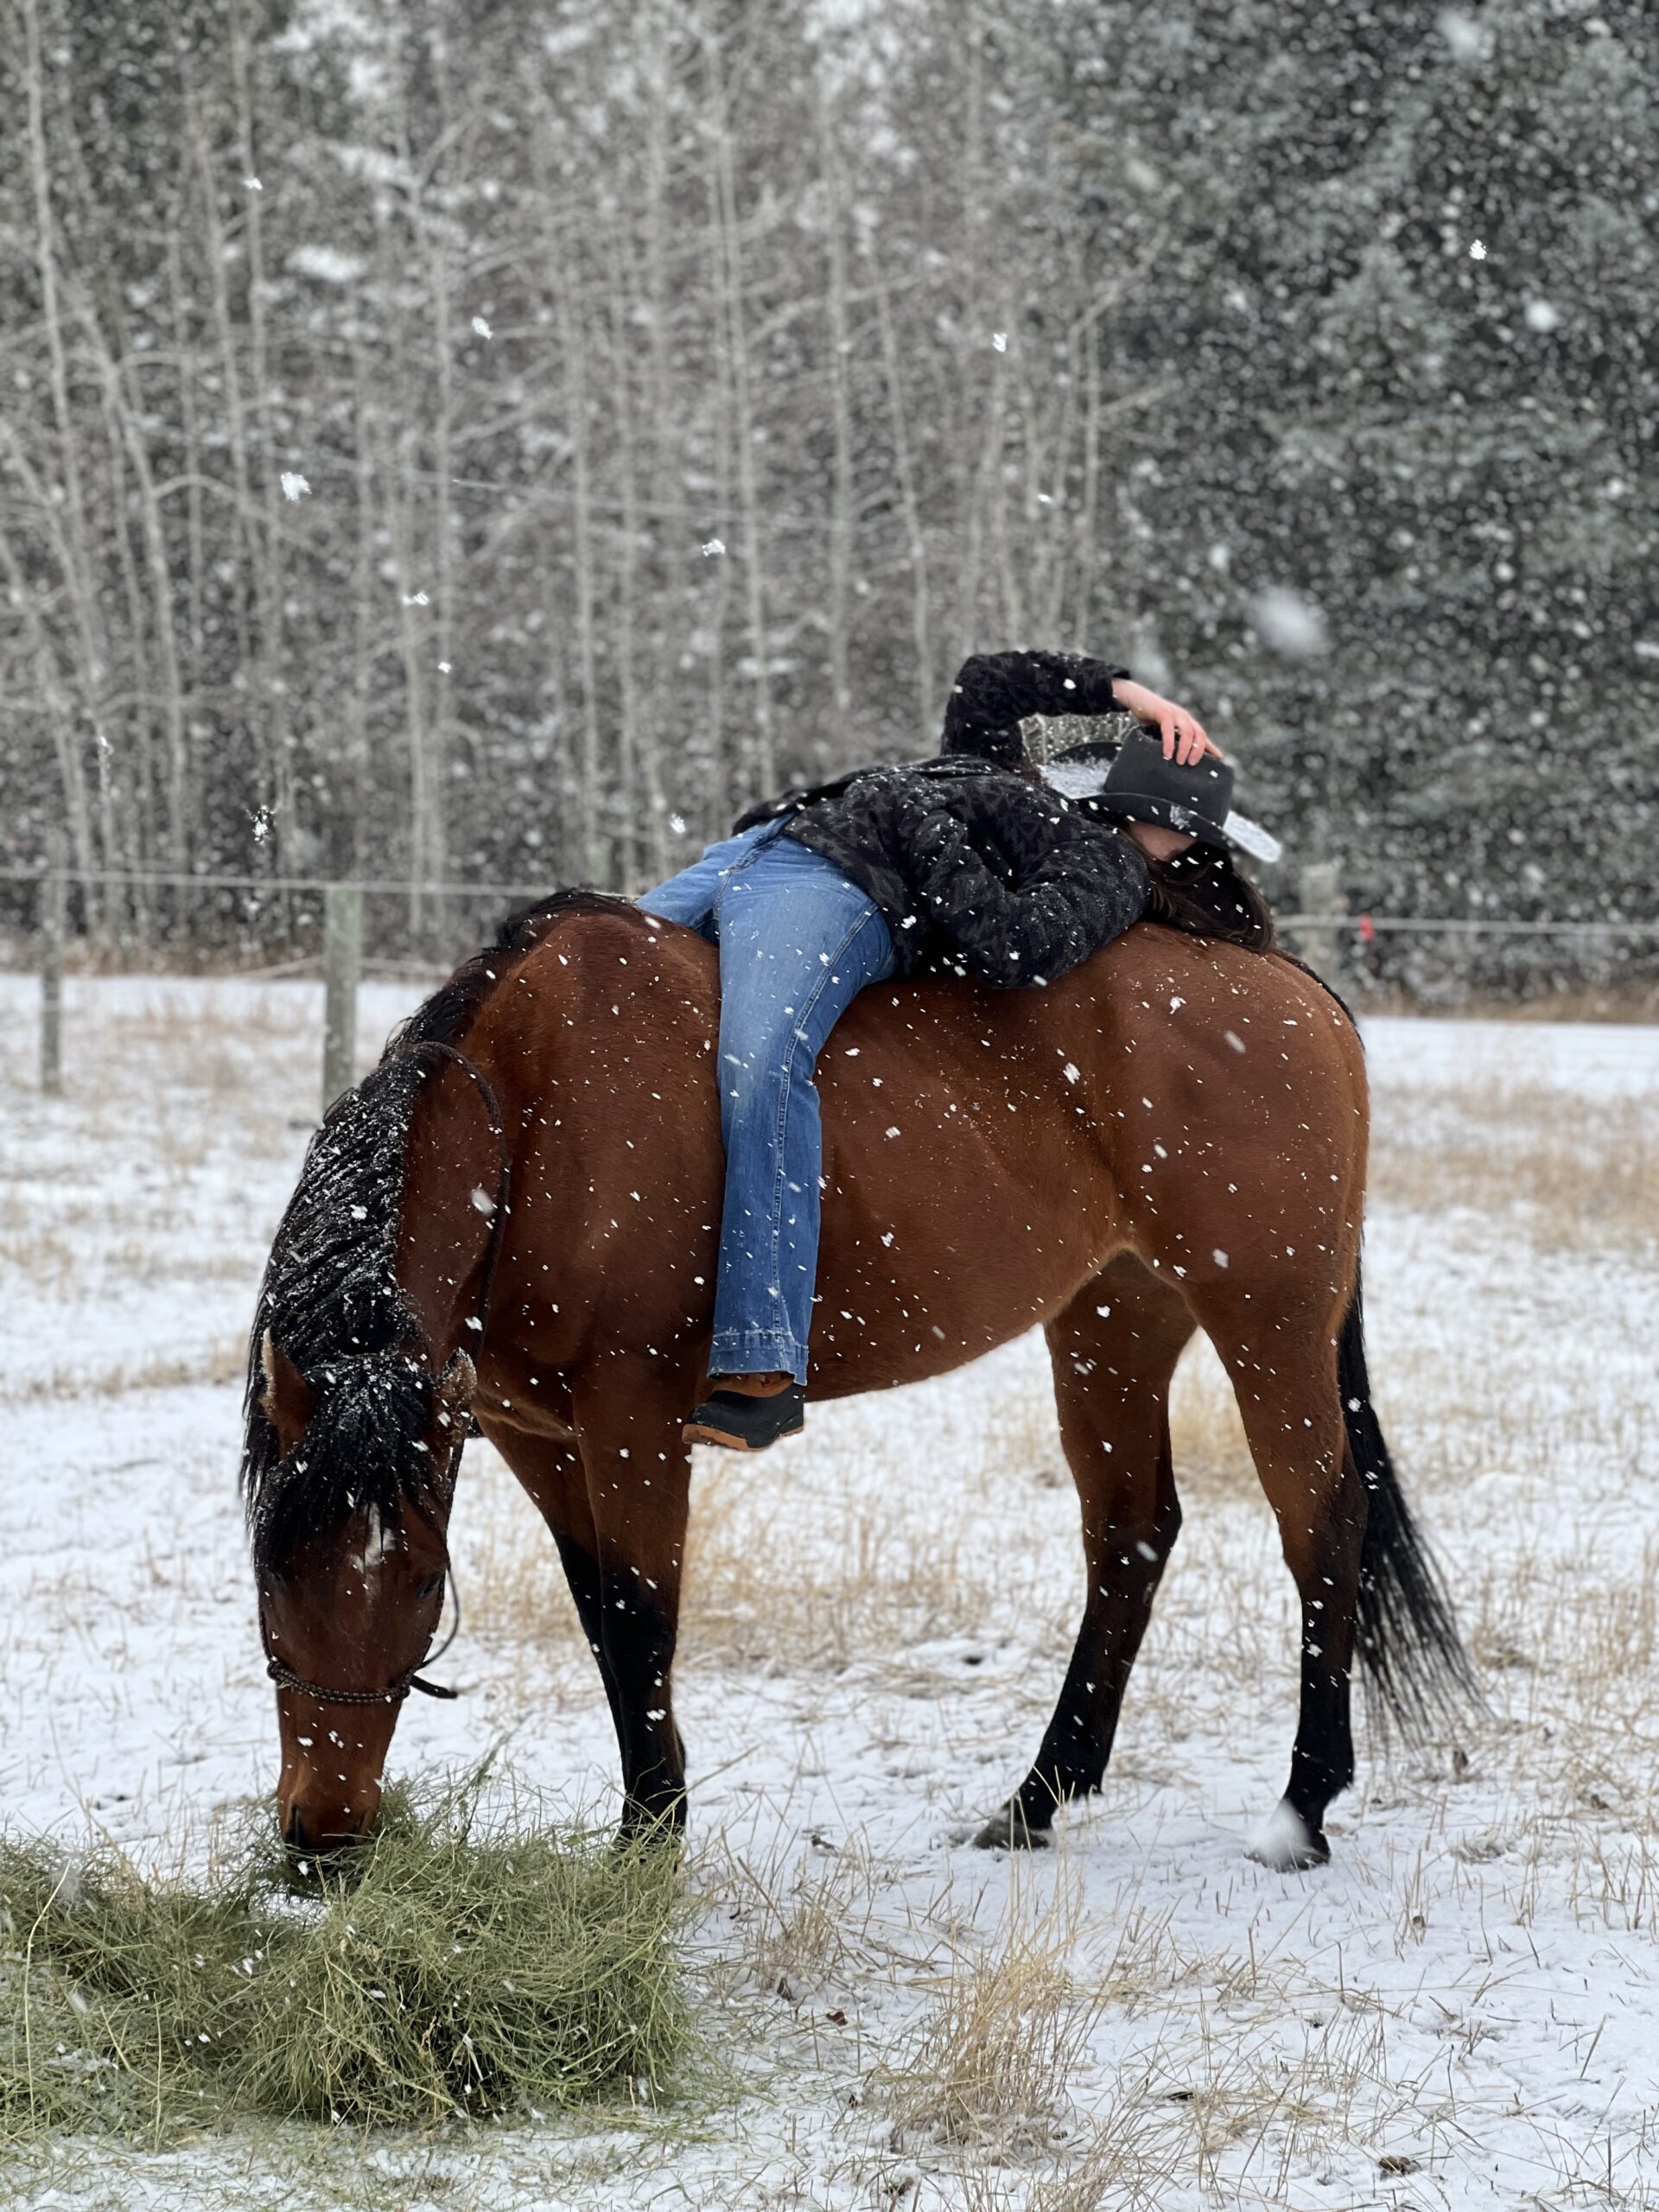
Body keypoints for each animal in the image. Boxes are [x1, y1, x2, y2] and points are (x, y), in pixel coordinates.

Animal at [243, 880, 1468, 1866]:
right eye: (269, 1576)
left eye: (418, 1586)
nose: (324, 1836)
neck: (538, 1117)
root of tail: (1288, 981)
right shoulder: (532, 1431)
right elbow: (600, 1616)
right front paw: (652, 1817)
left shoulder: (632, 1414)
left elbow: (641, 1617)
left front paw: (648, 1846)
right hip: (1112, 1323)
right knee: (1131, 1534)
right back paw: (1037, 1797)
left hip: (1269, 1325)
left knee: (1322, 1523)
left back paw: (1300, 1811)